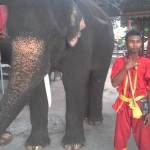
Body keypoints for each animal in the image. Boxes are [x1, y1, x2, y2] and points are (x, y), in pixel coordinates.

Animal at [0, 0, 113, 149]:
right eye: (10, 37)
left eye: (54, 34)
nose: (6, 136)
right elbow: (40, 86)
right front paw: (35, 145)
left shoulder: (82, 41)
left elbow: (72, 80)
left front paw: (73, 145)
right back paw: (84, 116)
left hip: (107, 48)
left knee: (97, 78)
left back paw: (95, 121)